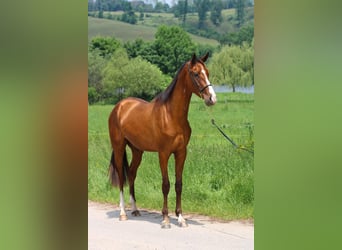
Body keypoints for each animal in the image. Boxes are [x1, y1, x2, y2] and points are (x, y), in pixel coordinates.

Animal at [108, 52, 216, 229]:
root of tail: (119, 107)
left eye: (207, 72)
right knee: (122, 177)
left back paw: (135, 209)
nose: (212, 98)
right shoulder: (163, 154)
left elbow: (178, 185)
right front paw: (165, 219)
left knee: (131, 174)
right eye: (195, 73)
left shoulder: (181, 153)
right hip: (119, 147)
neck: (171, 115)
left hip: (137, 150)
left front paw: (181, 218)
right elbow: (165, 185)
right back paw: (123, 213)